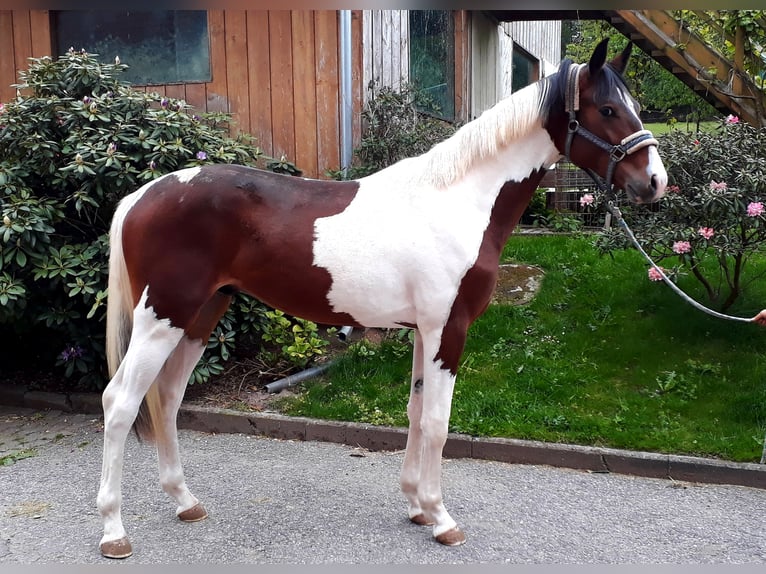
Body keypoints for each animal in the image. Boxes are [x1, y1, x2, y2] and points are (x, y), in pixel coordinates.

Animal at [96, 38, 667, 558]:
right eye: (608, 109)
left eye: (633, 106)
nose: (655, 182)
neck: (457, 200)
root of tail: (140, 195)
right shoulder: (447, 329)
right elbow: (437, 423)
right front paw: (442, 518)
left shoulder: (422, 332)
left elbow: (415, 414)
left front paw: (416, 506)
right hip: (162, 316)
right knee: (120, 401)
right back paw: (114, 532)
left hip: (199, 316)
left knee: (167, 397)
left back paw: (185, 502)